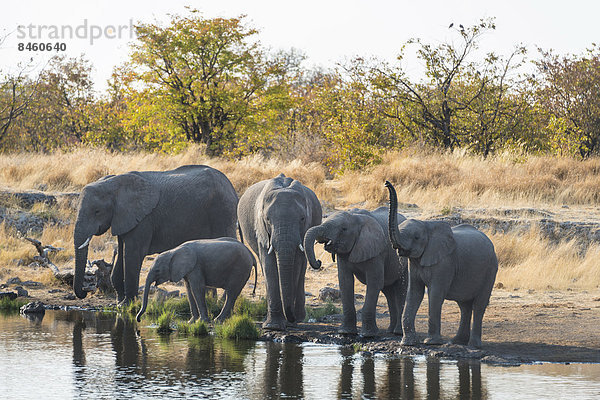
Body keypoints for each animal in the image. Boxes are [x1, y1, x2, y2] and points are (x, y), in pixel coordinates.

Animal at [76, 164, 240, 304]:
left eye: (97, 211)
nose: (85, 291)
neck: (113, 183)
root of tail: (231, 187)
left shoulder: (144, 219)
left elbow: (133, 255)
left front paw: (127, 304)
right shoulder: (123, 219)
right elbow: (122, 254)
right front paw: (119, 302)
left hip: (222, 212)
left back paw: (221, 300)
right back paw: (212, 299)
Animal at [237, 175, 322, 332]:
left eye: (302, 218)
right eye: (267, 219)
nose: (319, 262)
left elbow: (296, 264)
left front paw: (289, 324)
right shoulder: (262, 230)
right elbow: (269, 265)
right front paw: (274, 327)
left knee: (302, 269)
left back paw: (298, 317)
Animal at [304, 208, 408, 336]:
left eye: (344, 229)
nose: (319, 261)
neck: (356, 217)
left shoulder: (377, 252)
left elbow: (374, 283)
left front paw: (368, 335)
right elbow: (345, 282)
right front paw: (346, 332)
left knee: (400, 290)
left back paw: (398, 332)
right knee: (388, 292)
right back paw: (390, 330)